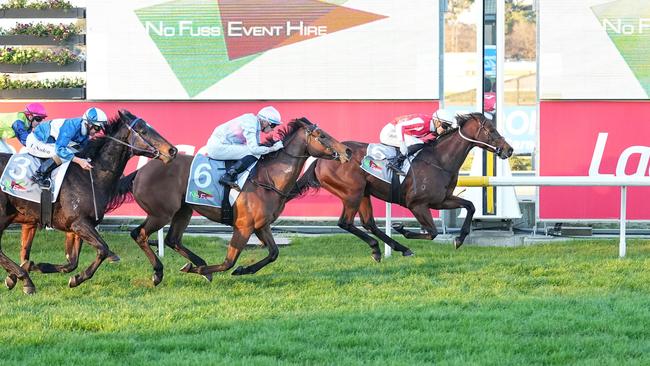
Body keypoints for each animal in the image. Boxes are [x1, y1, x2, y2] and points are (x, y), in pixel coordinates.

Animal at [0, 109, 177, 294]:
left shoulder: (74, 227)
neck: (91, 175)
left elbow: (71, 263)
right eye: (143, 131)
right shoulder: (79, 223)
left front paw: (36, 266)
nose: (172, 150)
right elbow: (103, 249)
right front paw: (77, 279)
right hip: (3, 215)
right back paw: (25, 280)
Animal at [116, 118, 350, 284]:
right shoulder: (243, 226)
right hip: (161, 213)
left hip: (183, 210)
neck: (268, 178)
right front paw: (199, 270)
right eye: (322, 135)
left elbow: (274, 253)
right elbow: (229, 262)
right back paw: (159, 272)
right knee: (140, 234)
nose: (346, 151)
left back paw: (195, 263)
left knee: (172, 239)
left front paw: (243, 269)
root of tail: (140, 171)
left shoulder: (261, 225)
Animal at [288, 111, 512, 260]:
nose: (509, 150)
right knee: (345, 223)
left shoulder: (441, 200)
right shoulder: (417, 204)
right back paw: (389, 246)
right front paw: (403, 228)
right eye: (491, 130)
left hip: (363, 193)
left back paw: (392, 248)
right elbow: (432, 232)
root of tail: (321, 160)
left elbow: (470, 206)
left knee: (369, 223)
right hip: (352, 193)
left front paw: (460, 239)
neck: (439, 161)